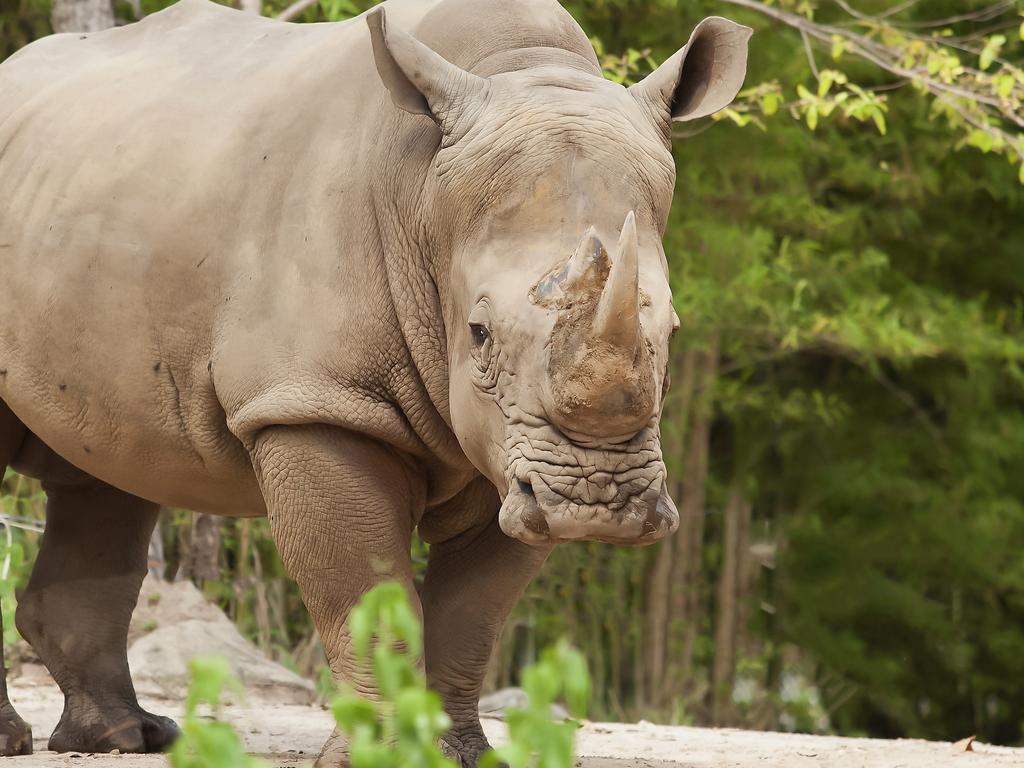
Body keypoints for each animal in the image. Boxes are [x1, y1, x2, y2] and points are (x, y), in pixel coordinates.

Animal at [0, 0, 749, 762]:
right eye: (479, 333)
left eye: (673, 332)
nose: (595, 502)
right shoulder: (316, 402)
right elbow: (368, 588)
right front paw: (383, 752)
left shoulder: (514, 453)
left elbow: (473, 612)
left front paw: (458, 753)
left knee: (107, 468)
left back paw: (125, 735)